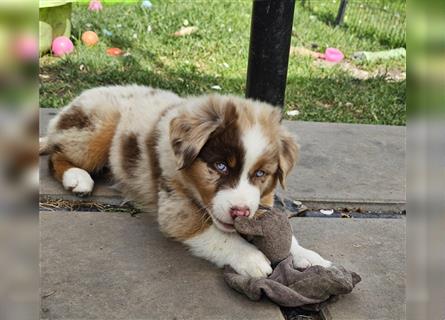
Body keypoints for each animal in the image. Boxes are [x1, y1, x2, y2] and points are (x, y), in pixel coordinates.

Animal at [40, 85, 330, 278]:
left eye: (260, 174)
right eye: (220, 166)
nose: (240, 212)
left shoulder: (262, 202)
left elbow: (284, 234)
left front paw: (309, 257)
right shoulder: (175, 210)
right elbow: (217, 235)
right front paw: (251, 257)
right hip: (97, 126)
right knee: (55, 154)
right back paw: (77, 178)